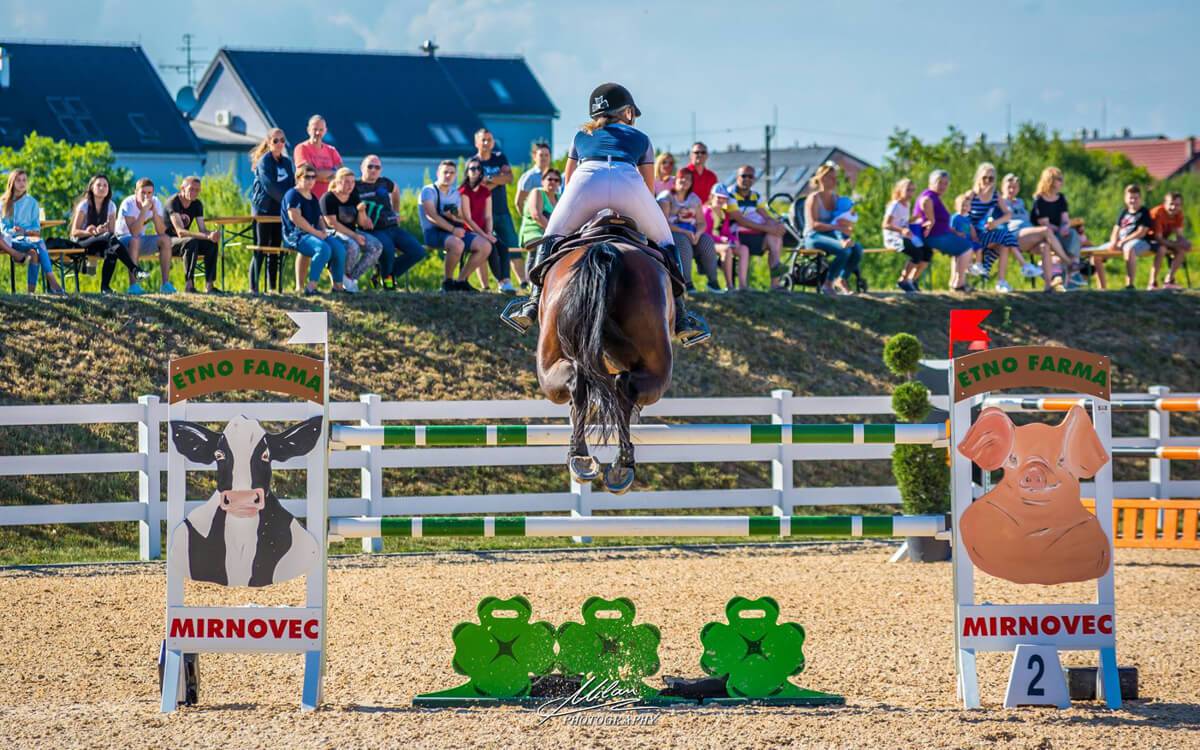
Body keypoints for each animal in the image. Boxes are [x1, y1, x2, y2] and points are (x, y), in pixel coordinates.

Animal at [535, 231, 676, 494]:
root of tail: (606, 249)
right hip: (659, 369)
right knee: (623, 387)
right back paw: (622, 465)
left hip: (549, 362)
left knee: (582, 384)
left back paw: (581, 458)